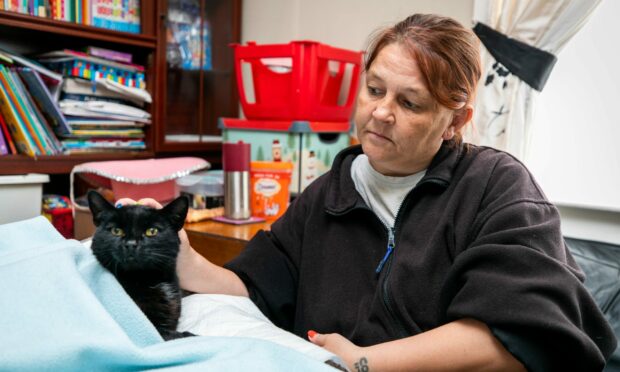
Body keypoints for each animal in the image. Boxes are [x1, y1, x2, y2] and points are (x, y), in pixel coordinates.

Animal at [87, 190, 194, 342]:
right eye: (116, 231)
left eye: (152, 231)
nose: (131, 244)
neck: (144, 279)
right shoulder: (156, 331)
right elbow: (179, 336)